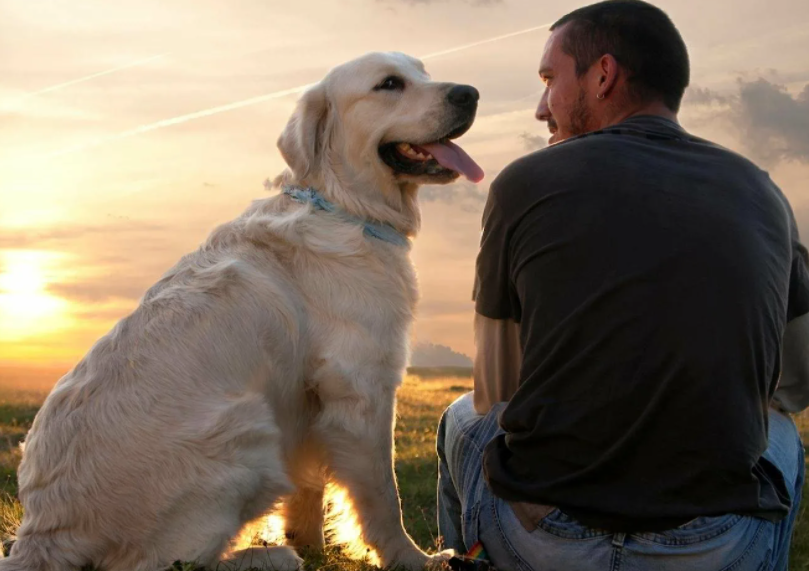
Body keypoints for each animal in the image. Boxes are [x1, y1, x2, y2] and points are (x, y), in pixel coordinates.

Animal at [1, 52, 480, 571]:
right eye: (389, 84)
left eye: (424, 72)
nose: (470, 93)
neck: (341, 205)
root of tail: (44, 531)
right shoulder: (362, 387)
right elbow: (381, 496)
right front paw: (413, 558)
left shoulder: (308, 400)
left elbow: (310, 487)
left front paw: (313, 544)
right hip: (247, 429)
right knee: (161, 563)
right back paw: (271, 557)